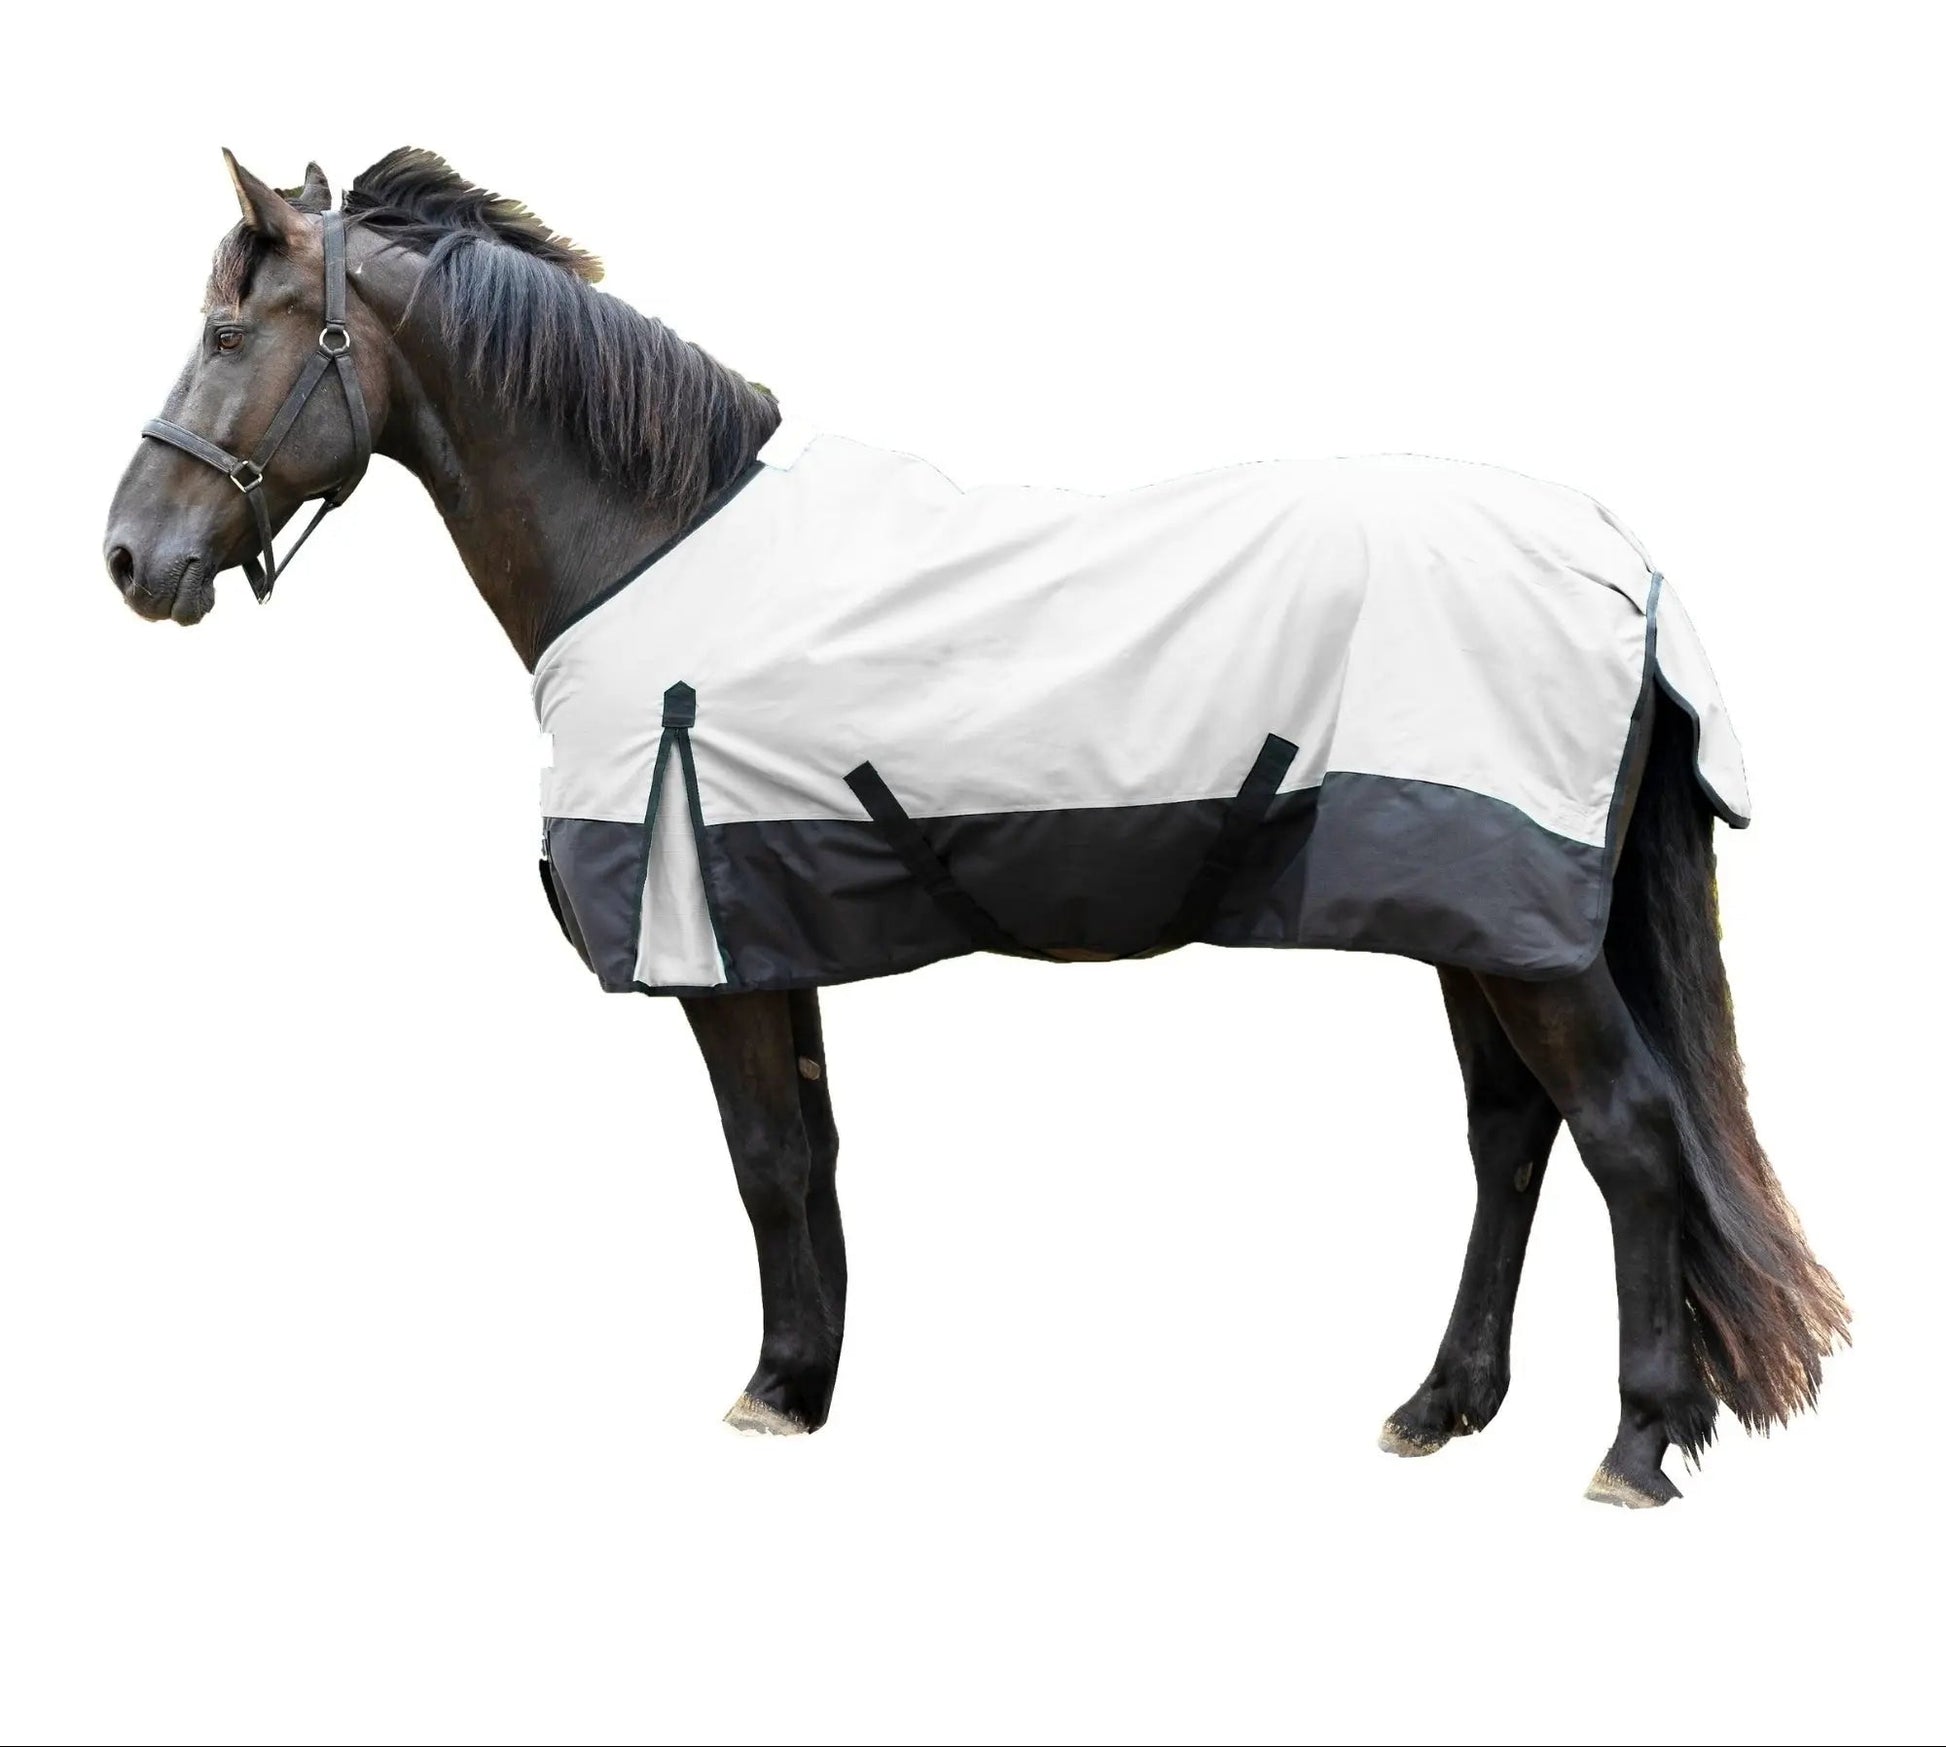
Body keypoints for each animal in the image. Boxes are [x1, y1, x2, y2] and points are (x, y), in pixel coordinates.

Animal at [102, 148, 1848, 1507]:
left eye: (223, 332)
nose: (128, 556)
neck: (652, 541)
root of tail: (1617, 558)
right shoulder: (765, 925)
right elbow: (806, 1154)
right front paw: (804, 1378)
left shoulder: (711, 934)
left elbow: (763, 1158)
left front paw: (770, 1389)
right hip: (1472, 922)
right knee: (1510, 1137)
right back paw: (1441, 1406)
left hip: (1524, 936)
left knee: (1627, 1135)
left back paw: (1632, 1444)